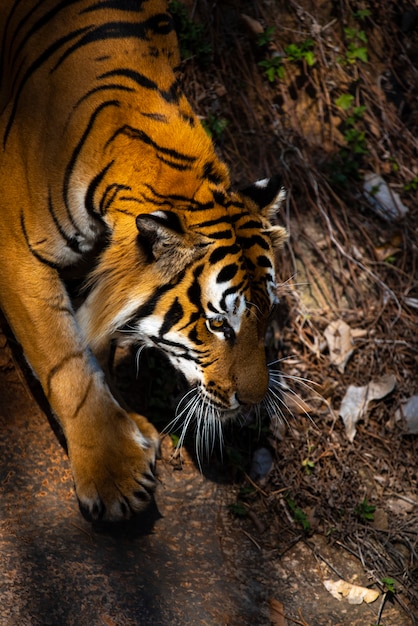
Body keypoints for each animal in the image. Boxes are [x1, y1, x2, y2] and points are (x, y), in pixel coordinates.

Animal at [0, 0, 288, 520]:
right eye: (218, 324)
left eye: (270, 313)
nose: (254, 402)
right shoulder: (17, 249)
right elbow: (65, 359)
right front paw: (112, 471)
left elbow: (97, 340)